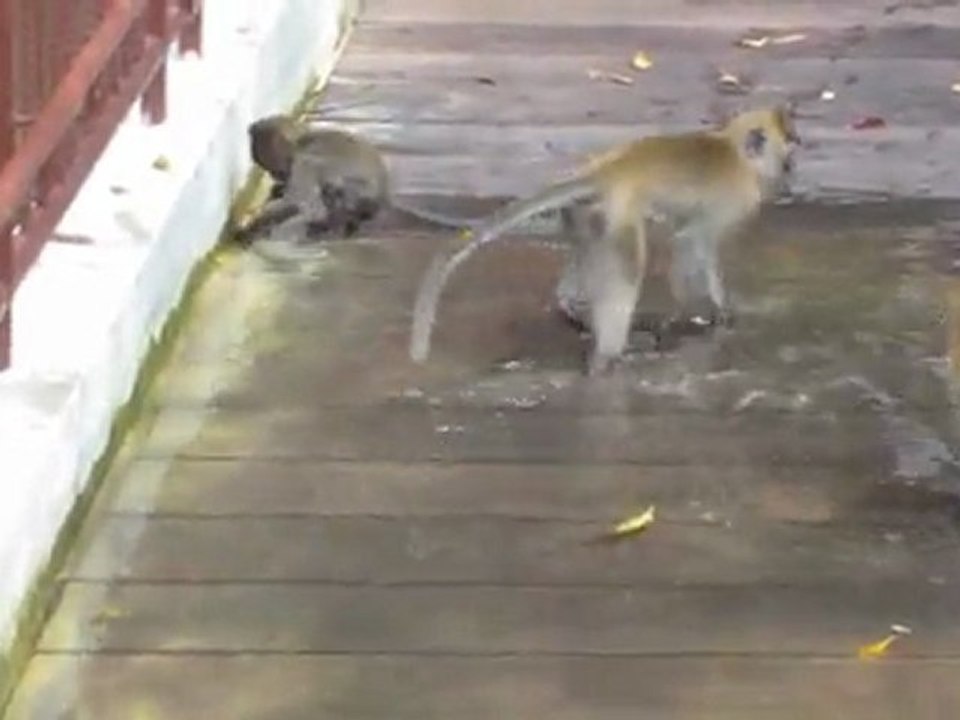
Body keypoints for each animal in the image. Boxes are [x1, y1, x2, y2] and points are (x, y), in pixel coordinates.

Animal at [409, 106, 800, 375]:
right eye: (787, 158)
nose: (791, 177)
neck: (735, 152)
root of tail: (608, 170)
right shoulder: (732, 202)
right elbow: (693, 242)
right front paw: (708, 309)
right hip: (619, 216)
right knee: (628, 269)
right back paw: (608, 356)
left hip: (586, 214)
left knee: (587, 249)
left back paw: (572, 309)